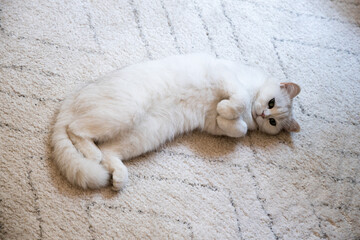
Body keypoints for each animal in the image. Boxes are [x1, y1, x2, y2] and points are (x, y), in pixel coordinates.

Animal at [51, 53, 300, 190]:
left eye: (273, 123)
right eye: (271, 103)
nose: (264, 115)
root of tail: (73, 97)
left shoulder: (212, 124)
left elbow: (238, 128)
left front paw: (227, 116)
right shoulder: (225, 77)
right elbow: (239, 101)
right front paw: (226, 109)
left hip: (143, 135)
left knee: (107, 152)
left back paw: (119, 178)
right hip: (125, 112)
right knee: (75, 129)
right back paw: (92, 155)